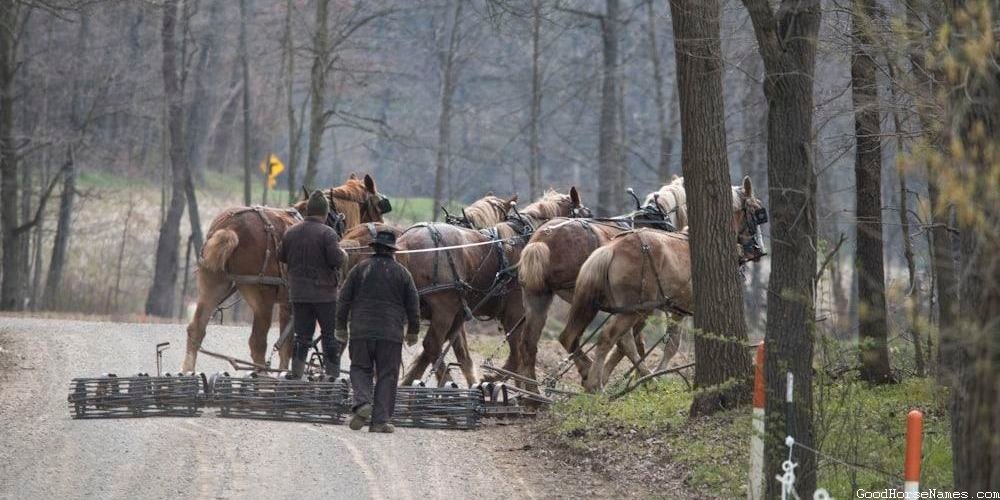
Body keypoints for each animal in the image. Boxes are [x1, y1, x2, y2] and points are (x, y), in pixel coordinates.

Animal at [182, 174, 388, 374]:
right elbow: (290, 346)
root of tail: (230, 228)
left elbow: (286, 347)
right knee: (257, 343)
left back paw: (188, 371)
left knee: (196, 330)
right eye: (378, 204)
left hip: (213, 284)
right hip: (262, 300)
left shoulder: (286, 304)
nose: (381, 228)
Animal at [394, 188, 588, 386]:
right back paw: (449, 381)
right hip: (443, 308)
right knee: (432, 344)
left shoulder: (460, 315)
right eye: (585, 216)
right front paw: (494, 379)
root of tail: (405, 242)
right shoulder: (514, 314)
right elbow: (517, 355)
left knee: (431, 346)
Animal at [516, 178, 688, 392]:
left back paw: (531, 390)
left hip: (538, 297)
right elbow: (629, 343)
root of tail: (542, 239)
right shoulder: (642, 307)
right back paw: (586, 371)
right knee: (570, 338)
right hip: (587, 300)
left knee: (529, 344)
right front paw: (642, 378)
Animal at [560, 178, 760, 392]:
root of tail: (611, 248)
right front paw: (660, 373)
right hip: (634, 309)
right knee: (609, 337)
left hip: (625, 309)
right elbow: (674, 346)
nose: (758, 250)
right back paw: (598, 384)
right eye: (757, 211)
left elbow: (670, 344)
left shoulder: (677, 310)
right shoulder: (684, 310)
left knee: (620, 341)